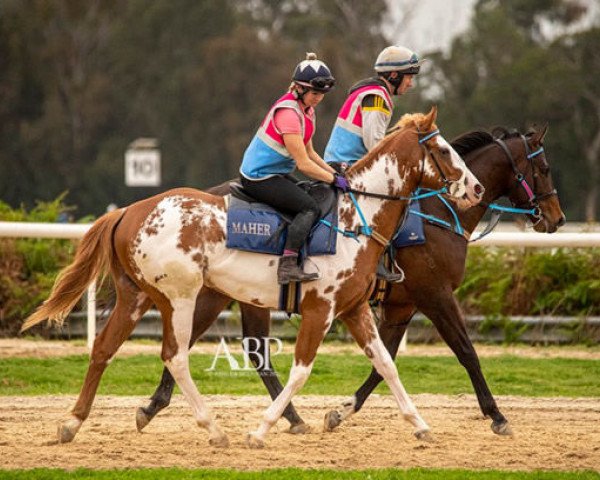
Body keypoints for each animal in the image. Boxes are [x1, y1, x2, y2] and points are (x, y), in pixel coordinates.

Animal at [22, 107, 482, 448]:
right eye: (444, 150)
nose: (476, 189)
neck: (356, 219)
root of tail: (128, 211)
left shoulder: (353, 309)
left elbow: (386, 366)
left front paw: (420, 425)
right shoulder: (321, 310)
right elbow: (301, 371)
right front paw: (261, 430)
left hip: (136, 296)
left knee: (104, 348)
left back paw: (72, 424)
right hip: (181, 297)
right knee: (175, 355)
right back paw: (213, 428)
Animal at [136, 125, 568, 436]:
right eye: (545, 168)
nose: (557, 218)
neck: (437, 215)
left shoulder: (399, 306)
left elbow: (383, 362)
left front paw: (343, 411)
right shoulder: (435, 296)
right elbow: (466, 352)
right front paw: (496, 415)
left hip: (240, 297)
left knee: (244, 351)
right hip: (212, 296)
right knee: (201, 346)